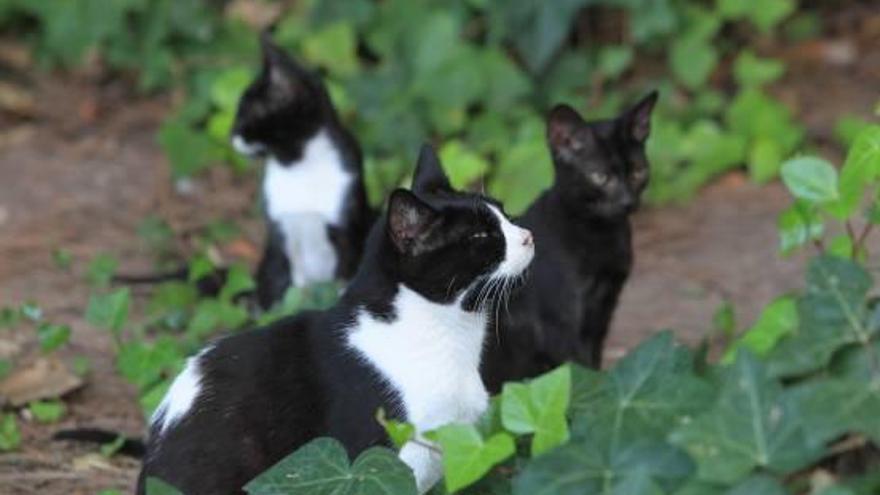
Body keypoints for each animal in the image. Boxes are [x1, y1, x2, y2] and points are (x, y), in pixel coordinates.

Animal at [232, 33, 372, 308]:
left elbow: (344, 278)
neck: (298, 165)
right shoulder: (284, 233)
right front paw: (294, 305)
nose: (231, 136)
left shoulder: (346, 230)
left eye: (244, 117)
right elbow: (297, 288)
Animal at [482, 92, 660, 396]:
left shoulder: (604, 311)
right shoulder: (560, 325)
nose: (628, 202)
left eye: (638, 171)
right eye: (600, 177)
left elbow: (593, 366)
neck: (601, 236)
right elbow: (579, 371)